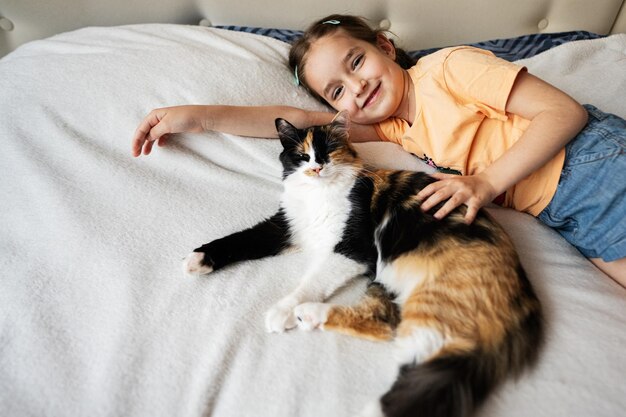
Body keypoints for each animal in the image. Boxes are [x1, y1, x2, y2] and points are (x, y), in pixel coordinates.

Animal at [182, 110, 540, 416]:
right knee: (384, 324)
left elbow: (311, 281)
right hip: (387, 282)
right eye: (303, 155)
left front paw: (282, 310)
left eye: (328, 151)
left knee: (413, 357)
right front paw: (198, 259)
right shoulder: (284, 228)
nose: (316, 168)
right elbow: (241, 240)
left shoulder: (353, 249)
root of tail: (524, 301)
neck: (318, 195)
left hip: (430, 297)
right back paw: (311, 316)